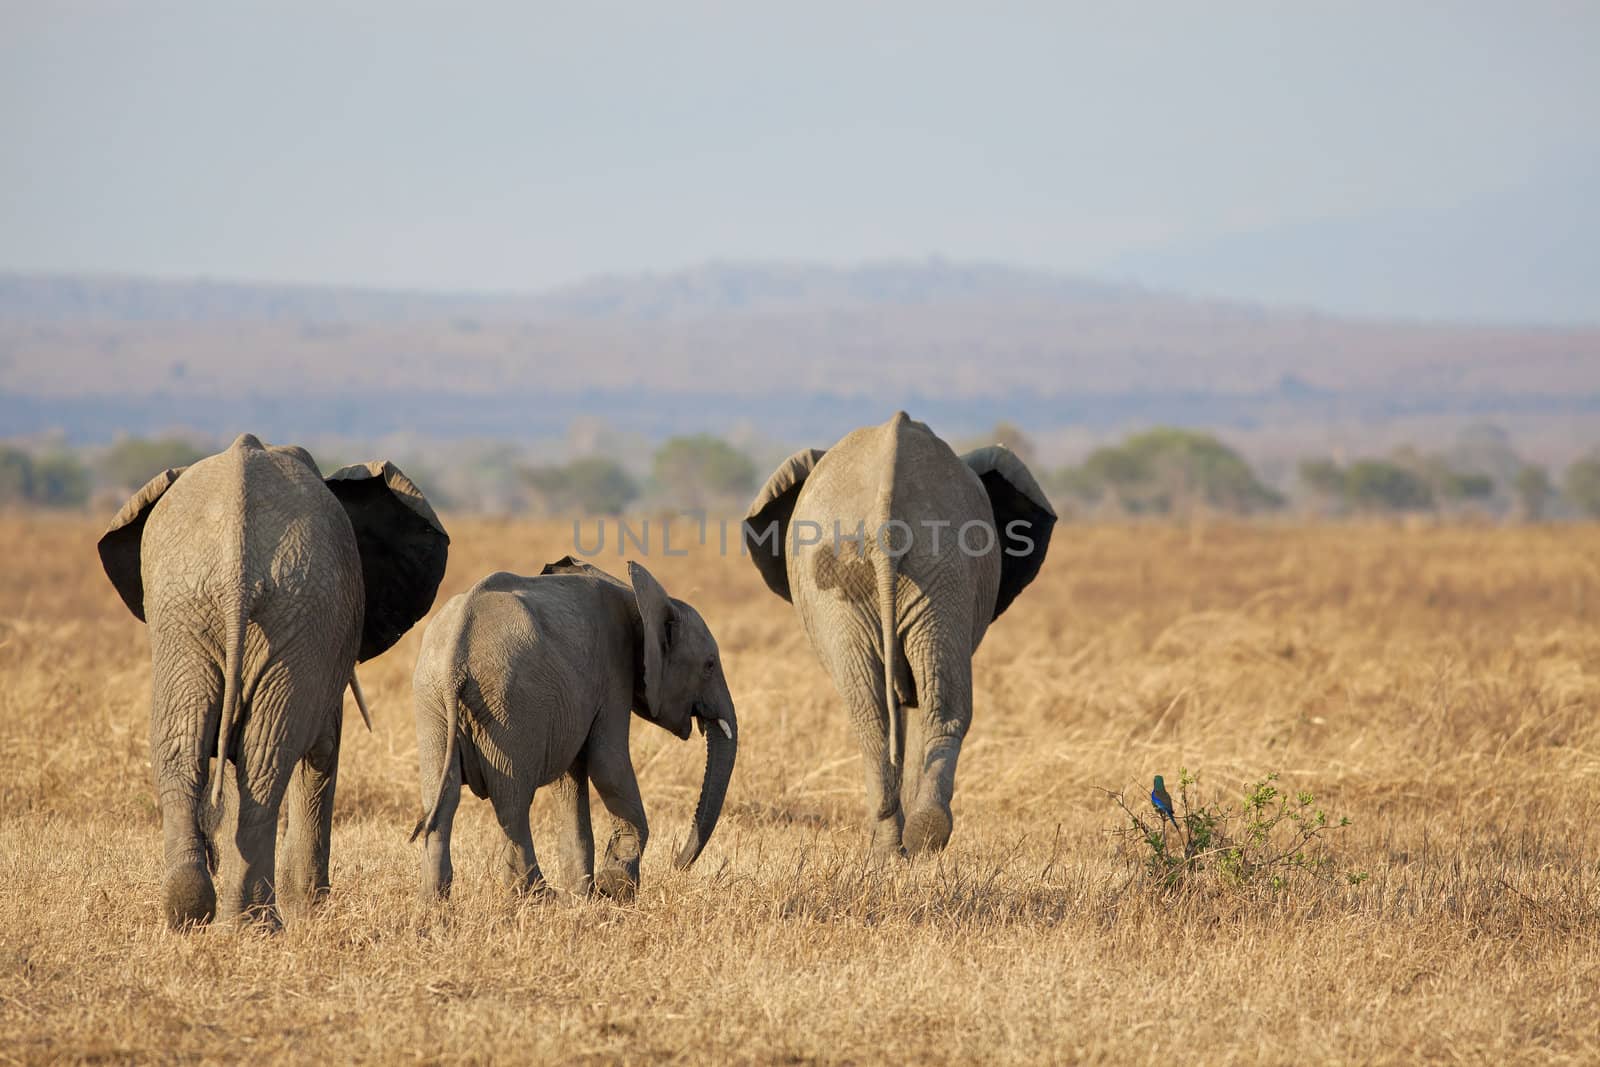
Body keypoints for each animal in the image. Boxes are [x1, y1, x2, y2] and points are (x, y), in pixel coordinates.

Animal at [98, 431, 451, 927]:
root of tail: (236, 561)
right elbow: (323, 749)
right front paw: (311, 909)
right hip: (268, 608)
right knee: (265, 756)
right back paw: (254, 923)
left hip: (198, 612)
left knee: (190, 745)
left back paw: (200, 915)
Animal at [409, 559, 739, 902]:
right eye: (709, 665)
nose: (677, 863)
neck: (638, 598)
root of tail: (455, 655)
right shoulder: (613, 673)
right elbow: (609, 765)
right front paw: (614, 888)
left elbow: (569, 781)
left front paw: (584, 895)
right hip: (508, 704)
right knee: (512, 802)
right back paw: (537, 895)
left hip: (433, 703)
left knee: (442, 798)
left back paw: (434, 901)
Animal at [742, 412, 1056, 857]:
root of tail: (885, 522)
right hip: (922, 573)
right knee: (917, 705)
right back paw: (908, 843)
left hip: (923, 572)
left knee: (891, 710)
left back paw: (900, 845)